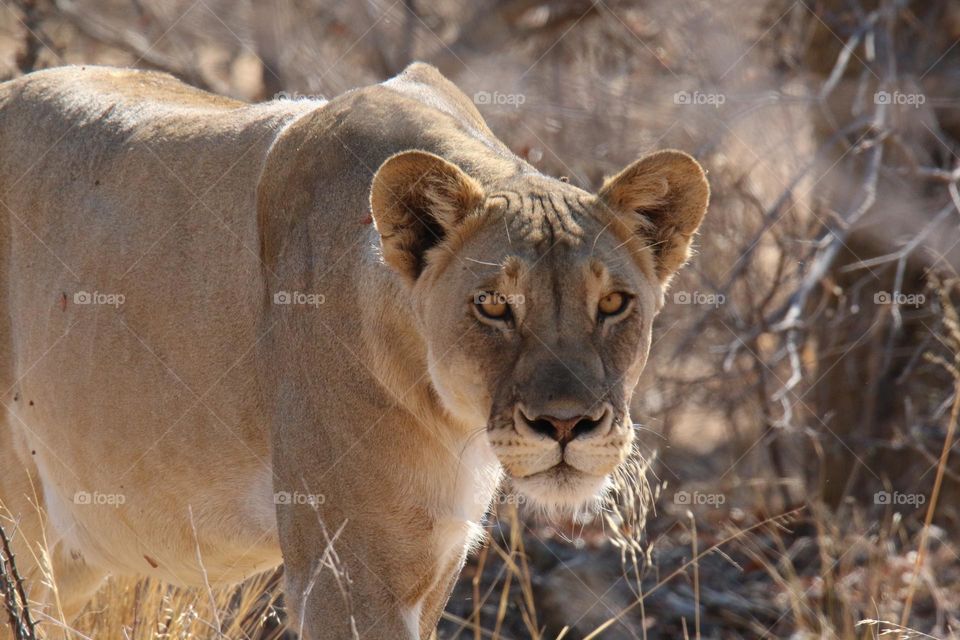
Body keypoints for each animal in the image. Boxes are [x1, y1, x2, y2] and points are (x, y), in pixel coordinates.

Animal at [0, 62, 708, 639]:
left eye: (612, 303)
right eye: (493, 305)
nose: (566, 424)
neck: (453, 420)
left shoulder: (434, 561)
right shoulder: (350, 574)